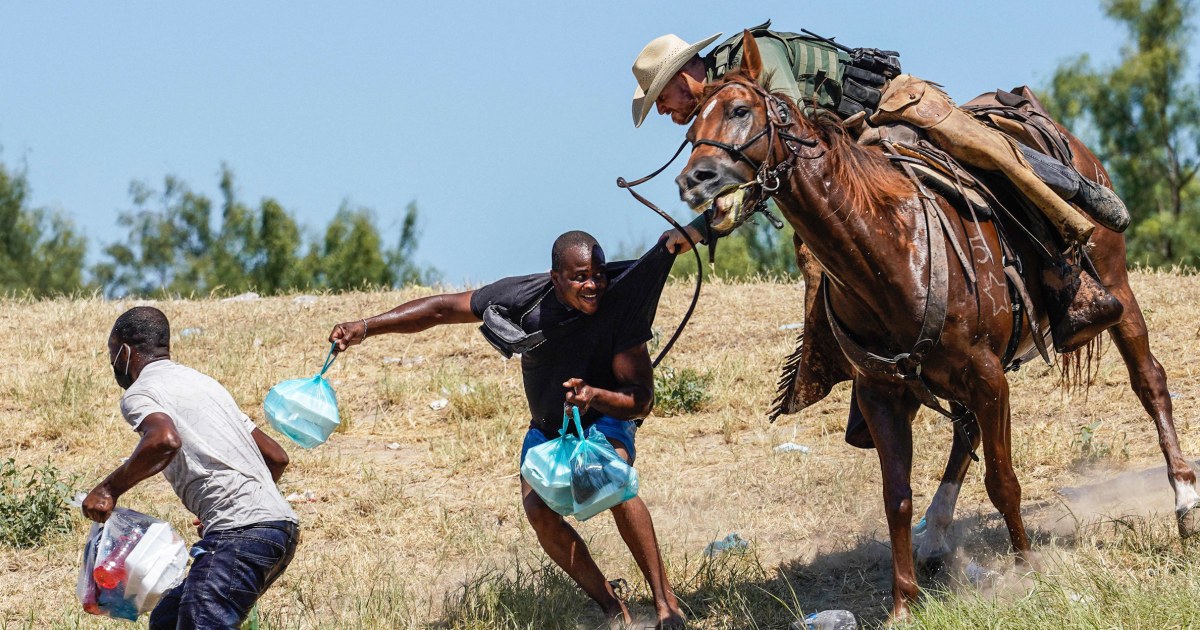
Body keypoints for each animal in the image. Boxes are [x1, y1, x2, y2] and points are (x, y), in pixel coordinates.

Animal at [672, 31, 1195, 614]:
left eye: (741, 111)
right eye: (690, 132)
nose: (694, 180)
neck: (891, 249)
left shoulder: (987, 376)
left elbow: (1003, 481)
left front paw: (1028, 569)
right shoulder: (882, 393)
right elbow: (896, 496)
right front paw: (903, 602)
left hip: (1115, 287)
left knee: (1150, 381)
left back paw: (1184, 501)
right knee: (964, 433)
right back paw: (937, 535)